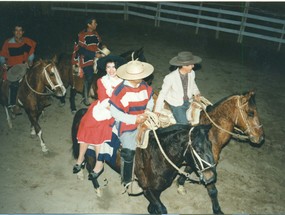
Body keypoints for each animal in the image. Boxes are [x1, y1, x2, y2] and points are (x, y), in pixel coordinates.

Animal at [71, 108, 217, 214]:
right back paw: (96, 188)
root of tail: (83, 112)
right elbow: (162, 209)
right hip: (91, 154)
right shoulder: (147, 189)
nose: (211, 177)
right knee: (90, 167)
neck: (158, 156)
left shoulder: (157, 189)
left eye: (211, 145)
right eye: (198, 149)